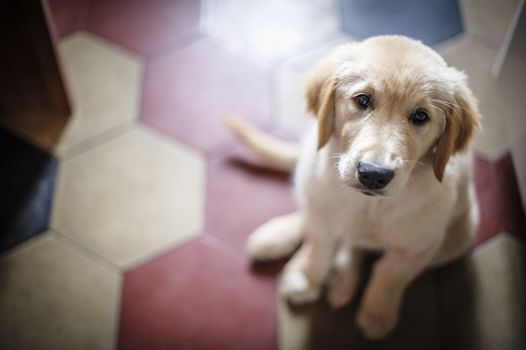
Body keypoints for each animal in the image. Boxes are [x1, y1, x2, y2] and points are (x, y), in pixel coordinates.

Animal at [225, 36, 480, 340]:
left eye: (420, 116)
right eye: (362, 100)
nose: (374, 175)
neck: (366, 204)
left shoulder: (417, 247)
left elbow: (388, 276)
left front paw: (377, 314)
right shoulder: (320, 212)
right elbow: (320, 248)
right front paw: (309, 278)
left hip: (460, 234)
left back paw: (341, 277)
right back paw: (282, 244)